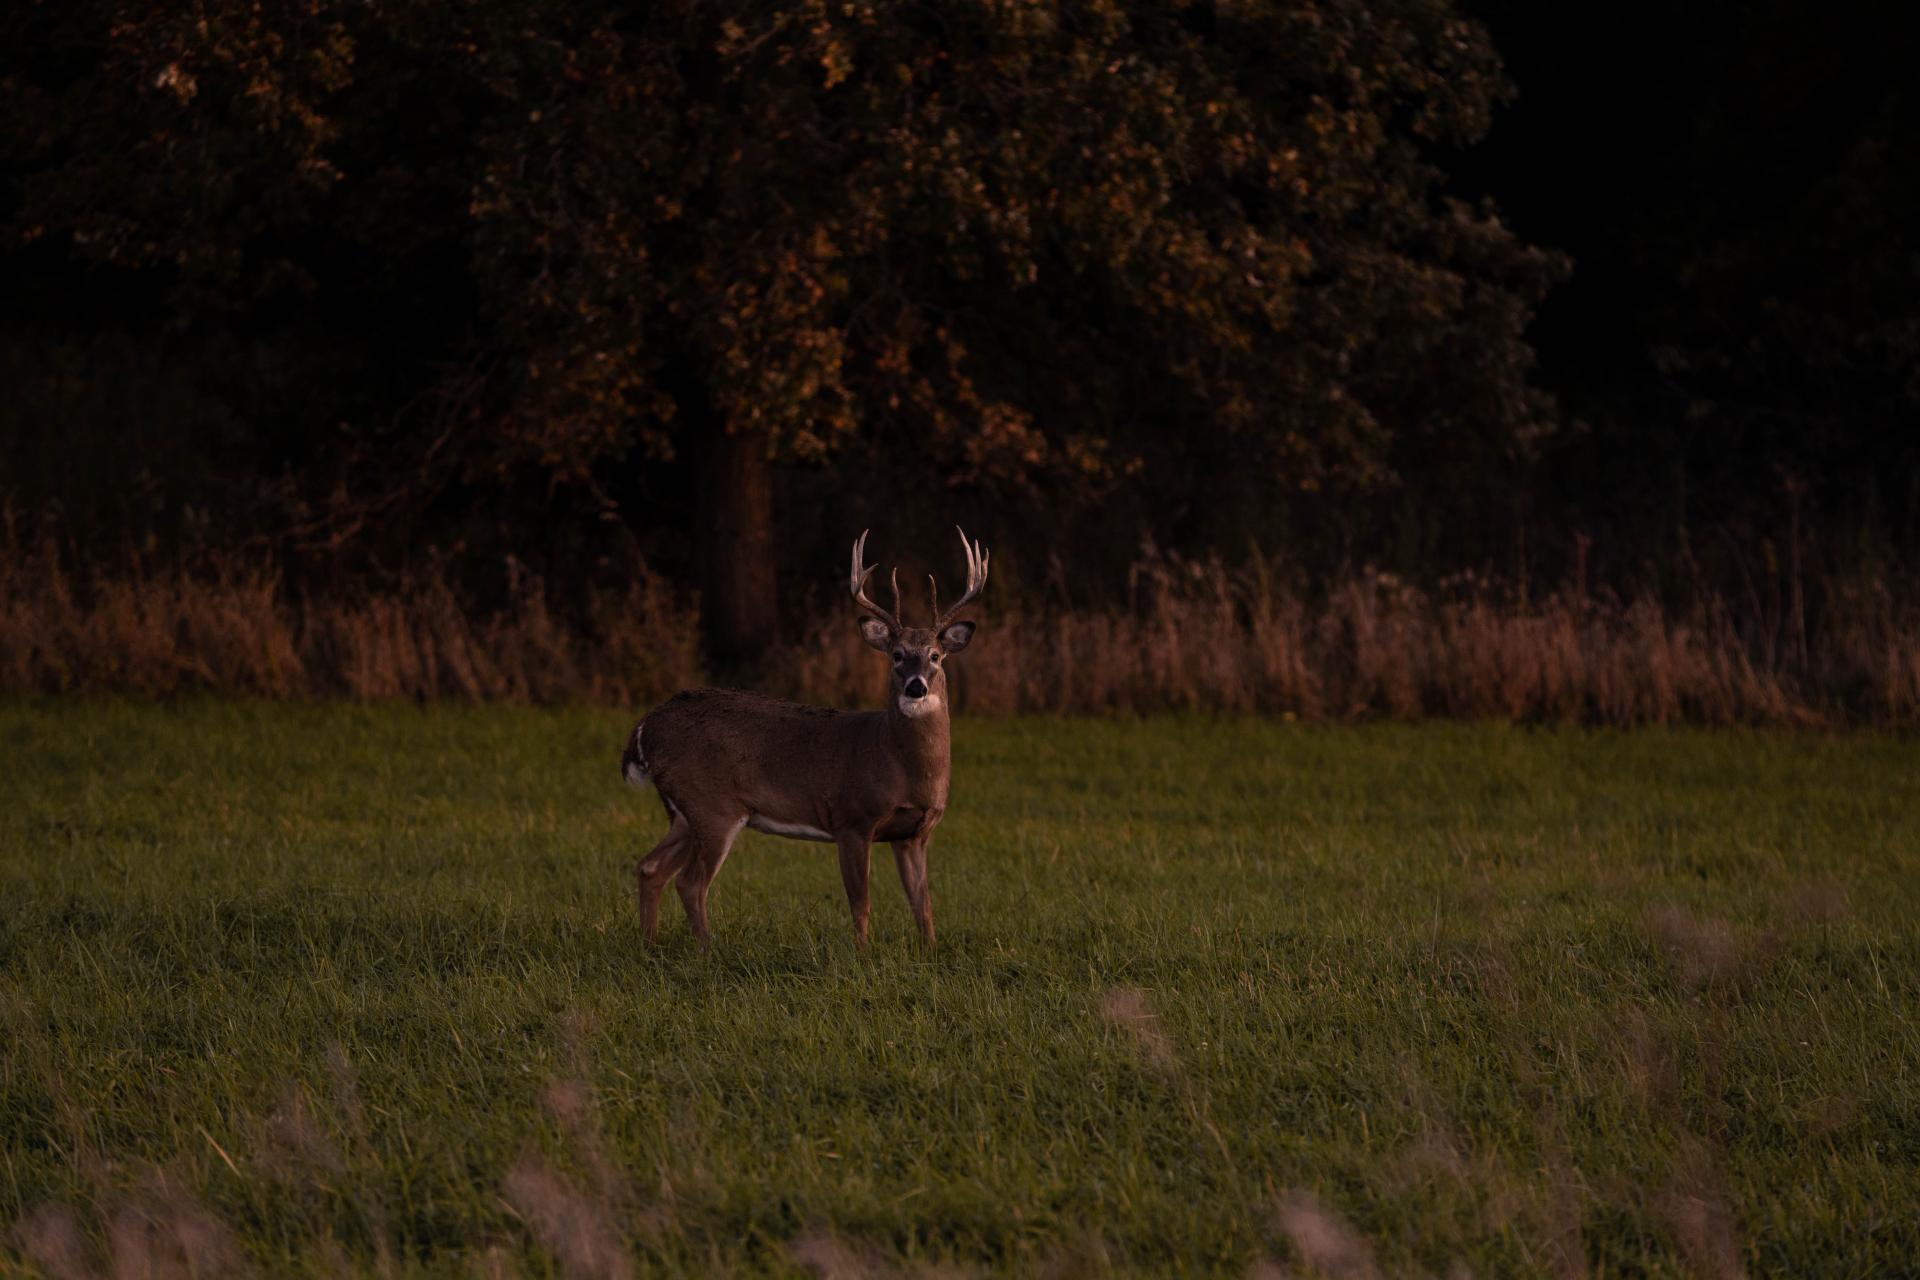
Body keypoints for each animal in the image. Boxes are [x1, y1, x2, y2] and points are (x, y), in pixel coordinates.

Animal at [620, 527, 988, 947]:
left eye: (935, 656)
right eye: (896, 655)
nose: (915, 687)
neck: (899, 764)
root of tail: (646, 726)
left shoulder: (913, 833)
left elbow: (922, 904)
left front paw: (930, 949)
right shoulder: (852, 818)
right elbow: (860, 901)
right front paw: (863, 952)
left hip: (683, 811)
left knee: (650, 868)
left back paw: (650, 944)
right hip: (712, 805)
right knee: (690, 882)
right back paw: (708, 948)